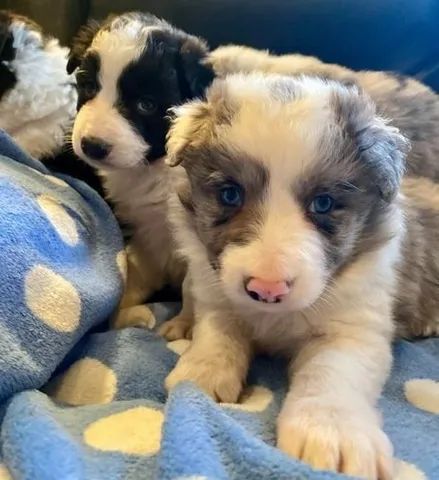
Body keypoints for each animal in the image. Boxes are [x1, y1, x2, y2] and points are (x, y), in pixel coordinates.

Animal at [67, 12, 215, 334]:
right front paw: (122, 316)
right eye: (88, 86)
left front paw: (183, 325)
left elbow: (191, 284)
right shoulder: (141, 232)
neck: (151, 169)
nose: (92, 146)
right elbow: (131, 274)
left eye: (146, 104)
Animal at [165, 73, 439, 478]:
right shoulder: (217, 297)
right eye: (230, 195)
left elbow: (330, 373)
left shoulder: (353, 330)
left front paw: (332, 433)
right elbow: (216, 336)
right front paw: (200, 374)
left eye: (323, 203)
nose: (267, 290)